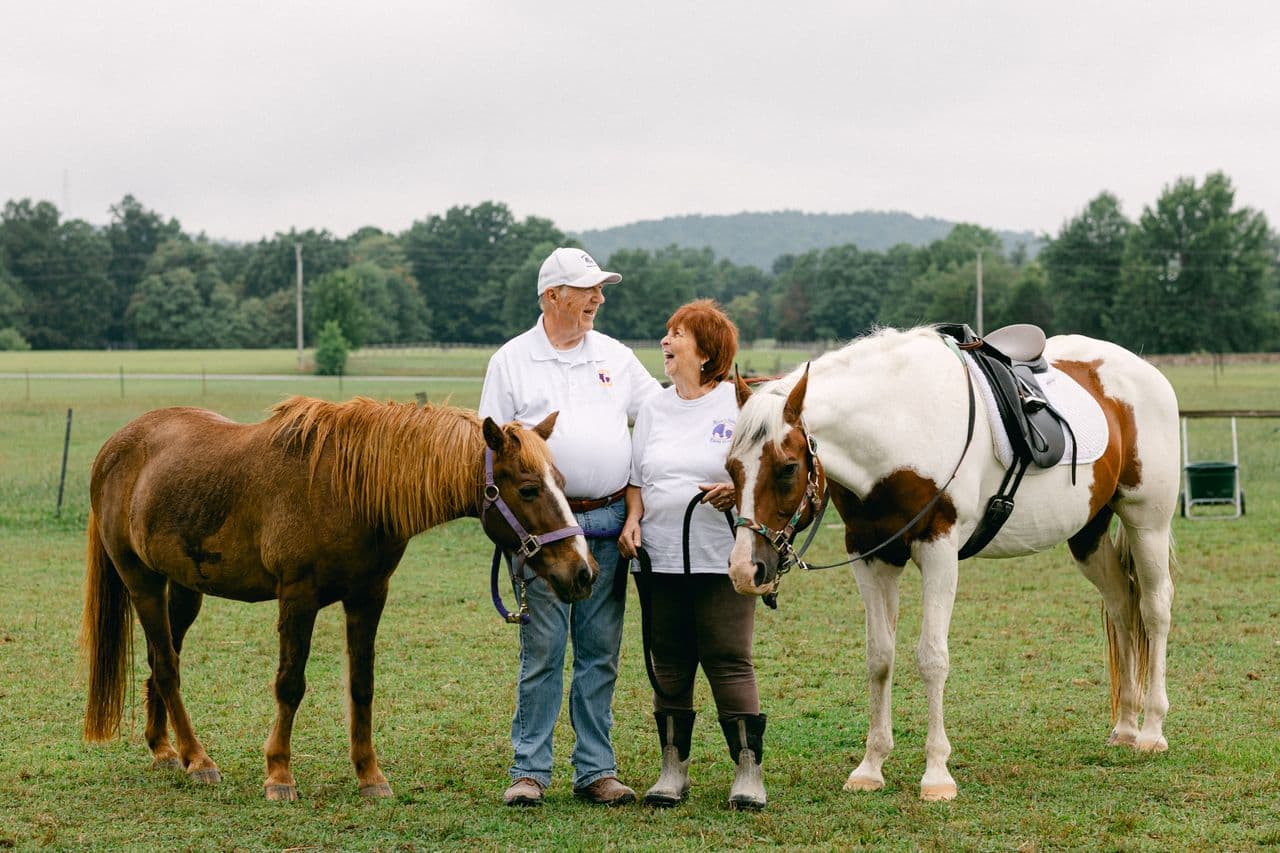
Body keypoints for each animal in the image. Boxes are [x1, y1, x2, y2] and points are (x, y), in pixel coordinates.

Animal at [81, 395, 595, 801]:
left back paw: (166, 750)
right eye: (528, 488)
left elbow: (361, 685)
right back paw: (198, 759)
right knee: (167, 666)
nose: (583, 572)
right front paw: (279, 774)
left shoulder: (368, 596)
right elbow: (290, 684)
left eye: (562, 481)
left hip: (185, 589)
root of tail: (113, 449)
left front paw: (370, 775)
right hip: (142, 582)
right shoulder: (297, 597)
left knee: (160, 660)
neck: (349, 488)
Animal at [725, 326, 1179, 801]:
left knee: (1154, 610)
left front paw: (937, 774)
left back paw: (1151, 729)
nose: (745, 570)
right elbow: (879, 657)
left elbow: (932, 657)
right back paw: (1126, 727)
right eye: (731, 468)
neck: (897, 423)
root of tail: (1145, 372)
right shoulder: (871, 555)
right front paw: (871, 767)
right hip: (1088, 536)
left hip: (1147, 523)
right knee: (1122, 606)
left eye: (787, 468)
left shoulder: (938, 549)